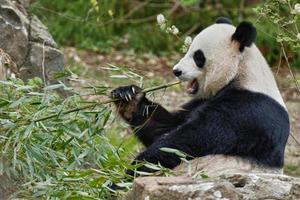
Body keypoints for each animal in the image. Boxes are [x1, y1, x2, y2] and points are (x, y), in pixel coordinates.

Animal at [110, 17, 290, 177]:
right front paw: (128, 98)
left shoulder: (248, 110)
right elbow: (165, 127)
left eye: (198, 57)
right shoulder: (200, 100)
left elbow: (191, 140)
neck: (240, 72)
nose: (176, 71)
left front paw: (134, 169)